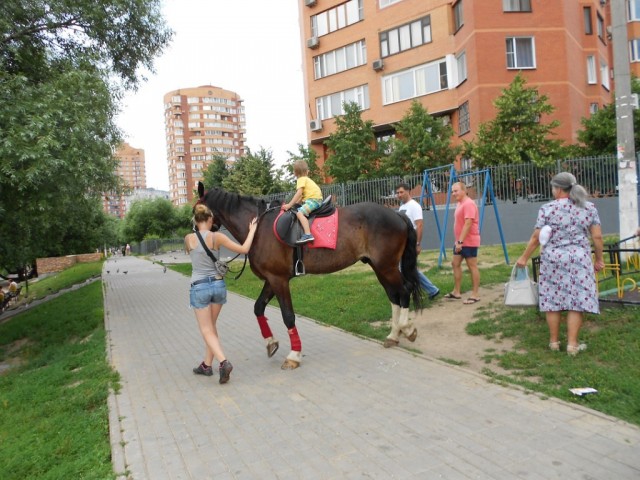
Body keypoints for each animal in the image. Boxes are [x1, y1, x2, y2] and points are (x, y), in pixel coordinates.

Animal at [198, 182, 422, 370]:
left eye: (197, 211)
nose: (196, 234)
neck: (259, 227)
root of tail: (397, 215)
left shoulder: (279, 280)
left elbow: (288, 316)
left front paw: (294, 355)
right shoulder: (272, 280)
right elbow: (258, 308)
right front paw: (271, 343)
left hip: (387, 266)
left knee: (404, 291)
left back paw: (407, 329)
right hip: (380, 267)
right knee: (394, 296)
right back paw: (393, 335)